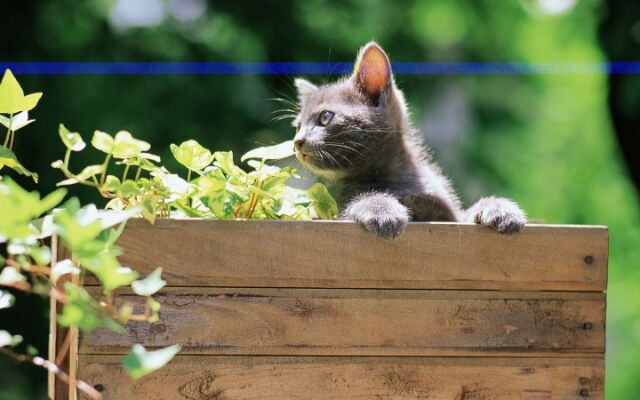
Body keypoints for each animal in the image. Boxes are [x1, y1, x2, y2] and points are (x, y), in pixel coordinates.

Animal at [292, 42, 528, 239]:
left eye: (325, 117)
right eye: (298, 126)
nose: (297, 141)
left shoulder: (450, 217)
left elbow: (466, 215)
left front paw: (500, 209)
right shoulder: (341, 210)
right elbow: (359, 203)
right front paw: (381, 209)